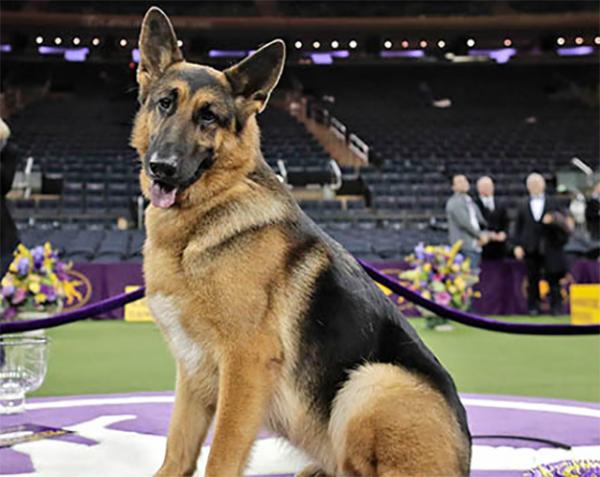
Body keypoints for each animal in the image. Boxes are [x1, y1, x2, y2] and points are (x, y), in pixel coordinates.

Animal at [134, 7, 472, 476]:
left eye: (208, 117)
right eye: (165, 103)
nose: (161, 168)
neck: (204, 219)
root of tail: (465, 459)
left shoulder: (245, 364)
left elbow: (221, 456)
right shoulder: (193, 369)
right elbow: (177, 450)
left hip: (370, 381)